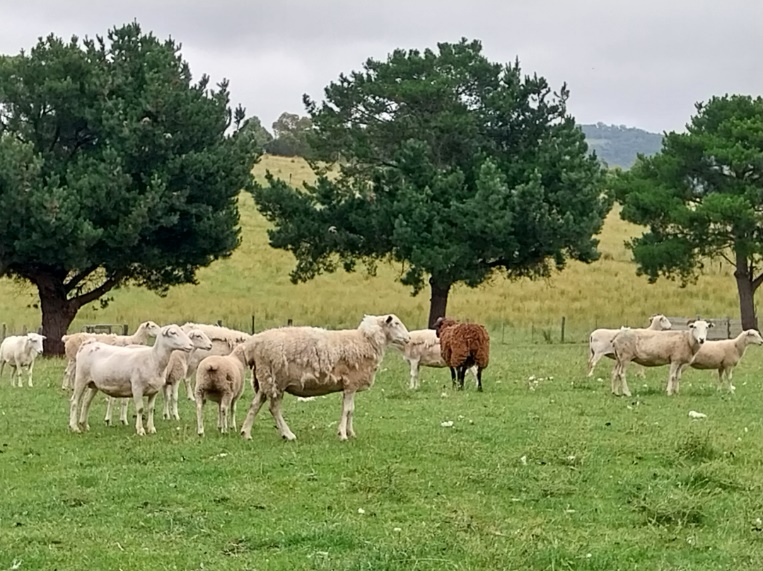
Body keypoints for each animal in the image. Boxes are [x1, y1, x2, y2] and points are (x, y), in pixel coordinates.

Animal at [242, 312, 412, 442]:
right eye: (396, 323)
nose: (409, 339)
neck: (366, 341)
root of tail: (254, 344)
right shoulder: (350, 384)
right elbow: (347, 410)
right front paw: (343, 435)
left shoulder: (351, 386)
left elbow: (351, 410)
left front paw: (351, 433)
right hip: (276, 381)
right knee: (274, 408)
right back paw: (288, 434)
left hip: (265, 379)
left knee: (255, 405)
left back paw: (246, 433)